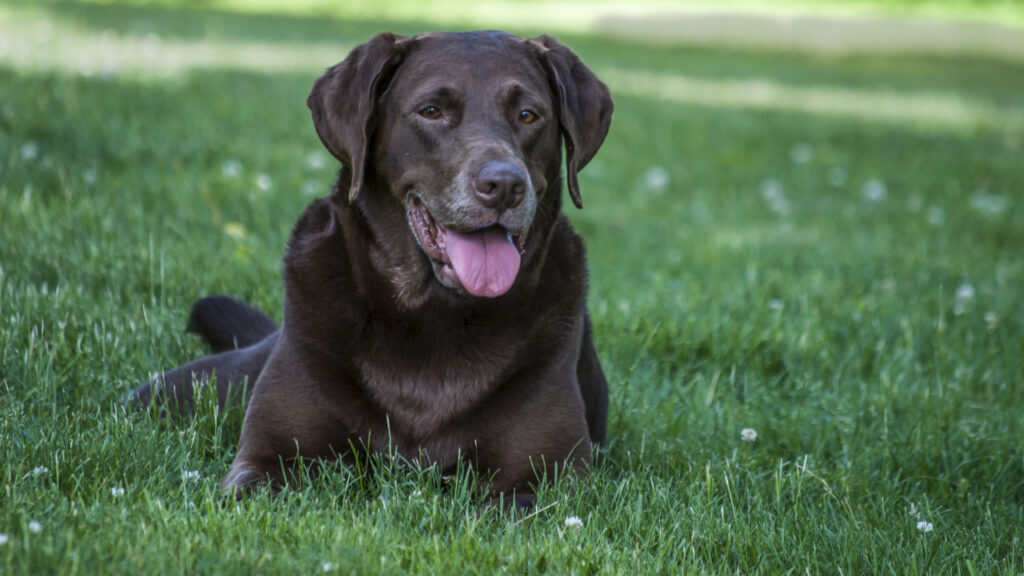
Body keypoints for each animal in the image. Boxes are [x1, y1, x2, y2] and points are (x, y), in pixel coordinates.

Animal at [129, 30, 610, 506]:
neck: (434, 315)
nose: (505, 185)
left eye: (529, 115)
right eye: (431, 111)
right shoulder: (266, 460)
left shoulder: (546, 480)